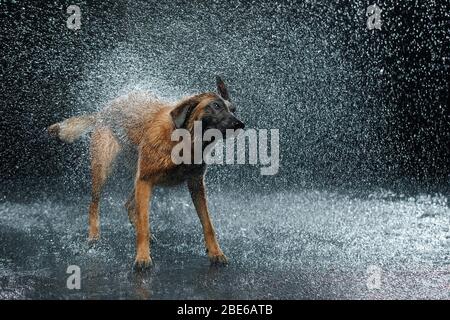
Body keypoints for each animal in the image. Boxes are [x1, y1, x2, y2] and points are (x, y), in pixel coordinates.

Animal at [48, 76, 246, 268]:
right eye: (216, 106)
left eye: (233, 109)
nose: (240, 124)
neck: (184, 141)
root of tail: (103, 111)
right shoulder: (145, 180)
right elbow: (144, 224)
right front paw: (142, 257)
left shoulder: (195, 184)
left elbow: (208, 224)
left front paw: (215, 253)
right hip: (104, 170)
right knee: (95, 204)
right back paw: (94, 236)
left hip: (140, 176)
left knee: (129, 204)